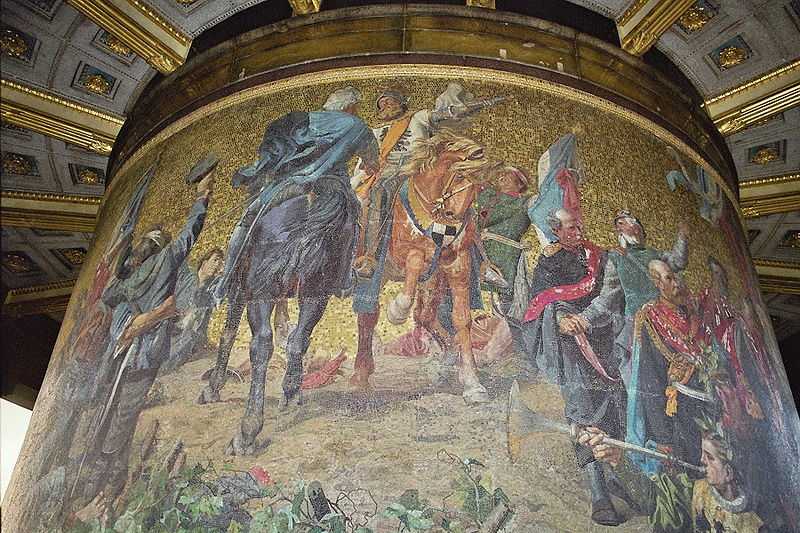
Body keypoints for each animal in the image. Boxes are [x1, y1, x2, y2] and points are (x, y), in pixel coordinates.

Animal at [197, 106, 378, 456]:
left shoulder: (242, 291)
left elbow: (228, 334)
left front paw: (214, 387)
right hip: (317, 288)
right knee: (299, 339)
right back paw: (291, 392)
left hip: (261, 289)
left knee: (262, 344)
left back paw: (248, 430)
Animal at [352, 130, 494, 404]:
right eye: (459, 176)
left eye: (479, 187)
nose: (454, 223)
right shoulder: (402, 255)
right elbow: (415, 261)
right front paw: (397, 309)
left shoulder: (457, 264)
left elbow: (461, 319)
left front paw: (472, 382)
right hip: (379, 271)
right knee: (369, 315)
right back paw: (361, 374)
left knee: (422, 315)